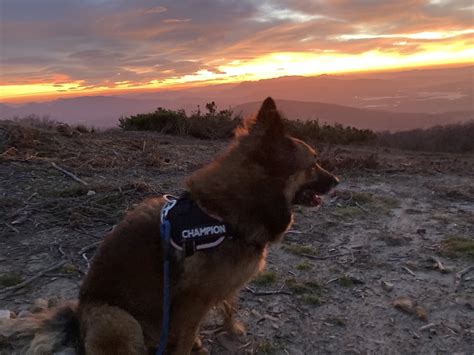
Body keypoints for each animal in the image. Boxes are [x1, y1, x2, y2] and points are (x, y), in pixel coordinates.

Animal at [1, 97, 338, 355]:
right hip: (119, 320)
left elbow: (221, 313)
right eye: (313, 163)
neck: (221, 215)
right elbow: (186, 337)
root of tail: (78, 317)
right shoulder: (193, 300)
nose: (336, 181)